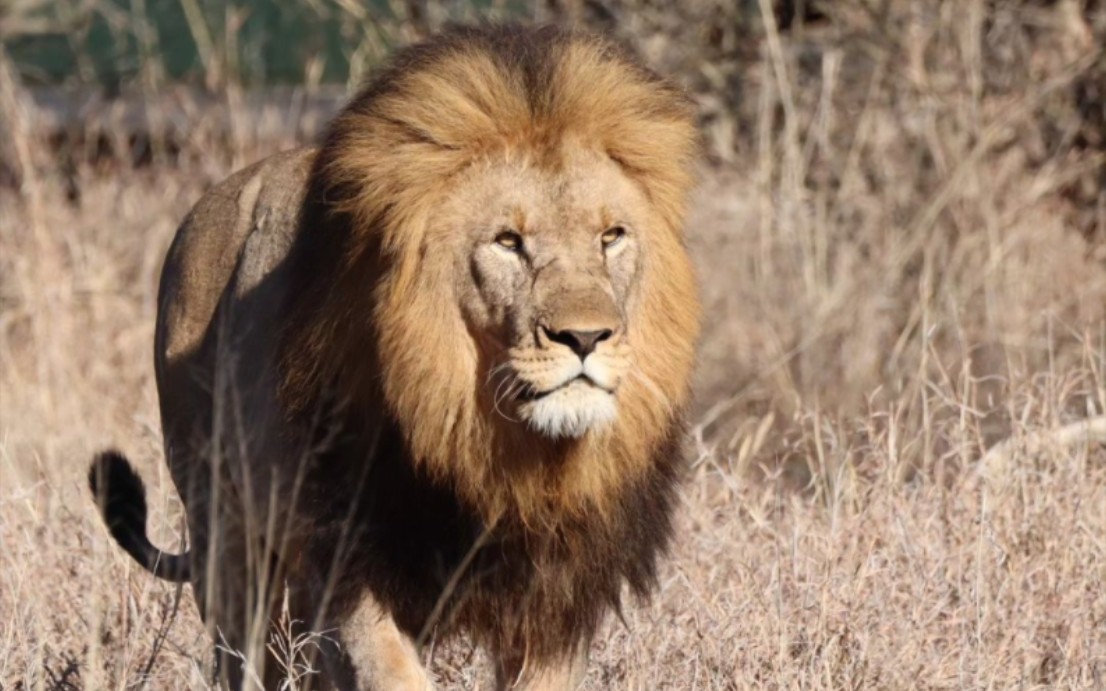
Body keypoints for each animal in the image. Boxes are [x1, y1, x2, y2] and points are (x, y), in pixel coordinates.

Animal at [88, 24, 698, 685]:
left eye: (611, 237)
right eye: (507, 241)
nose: (585, 338)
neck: (498, 452)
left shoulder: (554, 603)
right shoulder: (349, 568)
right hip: (225, 531)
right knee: (243, 653)